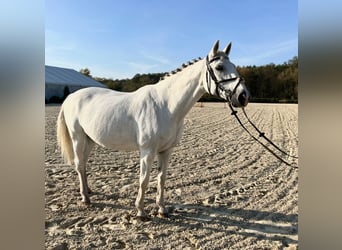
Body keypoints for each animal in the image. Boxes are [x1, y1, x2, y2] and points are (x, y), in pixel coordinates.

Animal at [55, 40, 248, 218]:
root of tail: (72, 96)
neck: (166, 105)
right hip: (78, 138)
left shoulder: (166, 151)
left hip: (90, 140)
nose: (243, 96)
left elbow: (161, 179)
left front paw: (162, 209)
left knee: (84, 164)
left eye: (234, 66)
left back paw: (89, 191)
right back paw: (85, 198)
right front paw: (140, 211)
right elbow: (144, 180)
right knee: (79, 164)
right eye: (220, 67)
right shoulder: (147, 151)